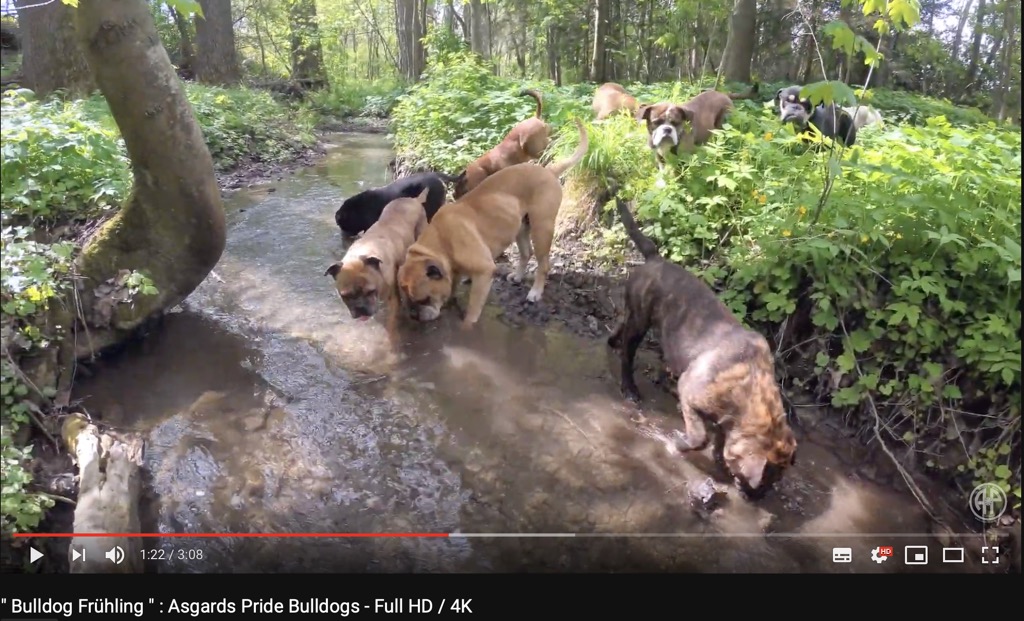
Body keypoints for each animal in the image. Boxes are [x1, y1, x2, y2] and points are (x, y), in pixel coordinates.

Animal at [323, 189, 428, 338]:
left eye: (370, 291)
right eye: (345, 296)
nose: (360, 308)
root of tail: (414, 199)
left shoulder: (392, 302)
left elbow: (391, 323)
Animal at [399, 118, 589, 327]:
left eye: (423, 299)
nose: (413, 314)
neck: (441, 242)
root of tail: (549, 170)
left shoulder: (484, 273)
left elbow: (472, 312)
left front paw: (466, 326)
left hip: (542, 228)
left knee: (543, 264)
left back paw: (535, 292)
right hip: (520, 227)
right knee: (526, 252)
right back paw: (517, 276)